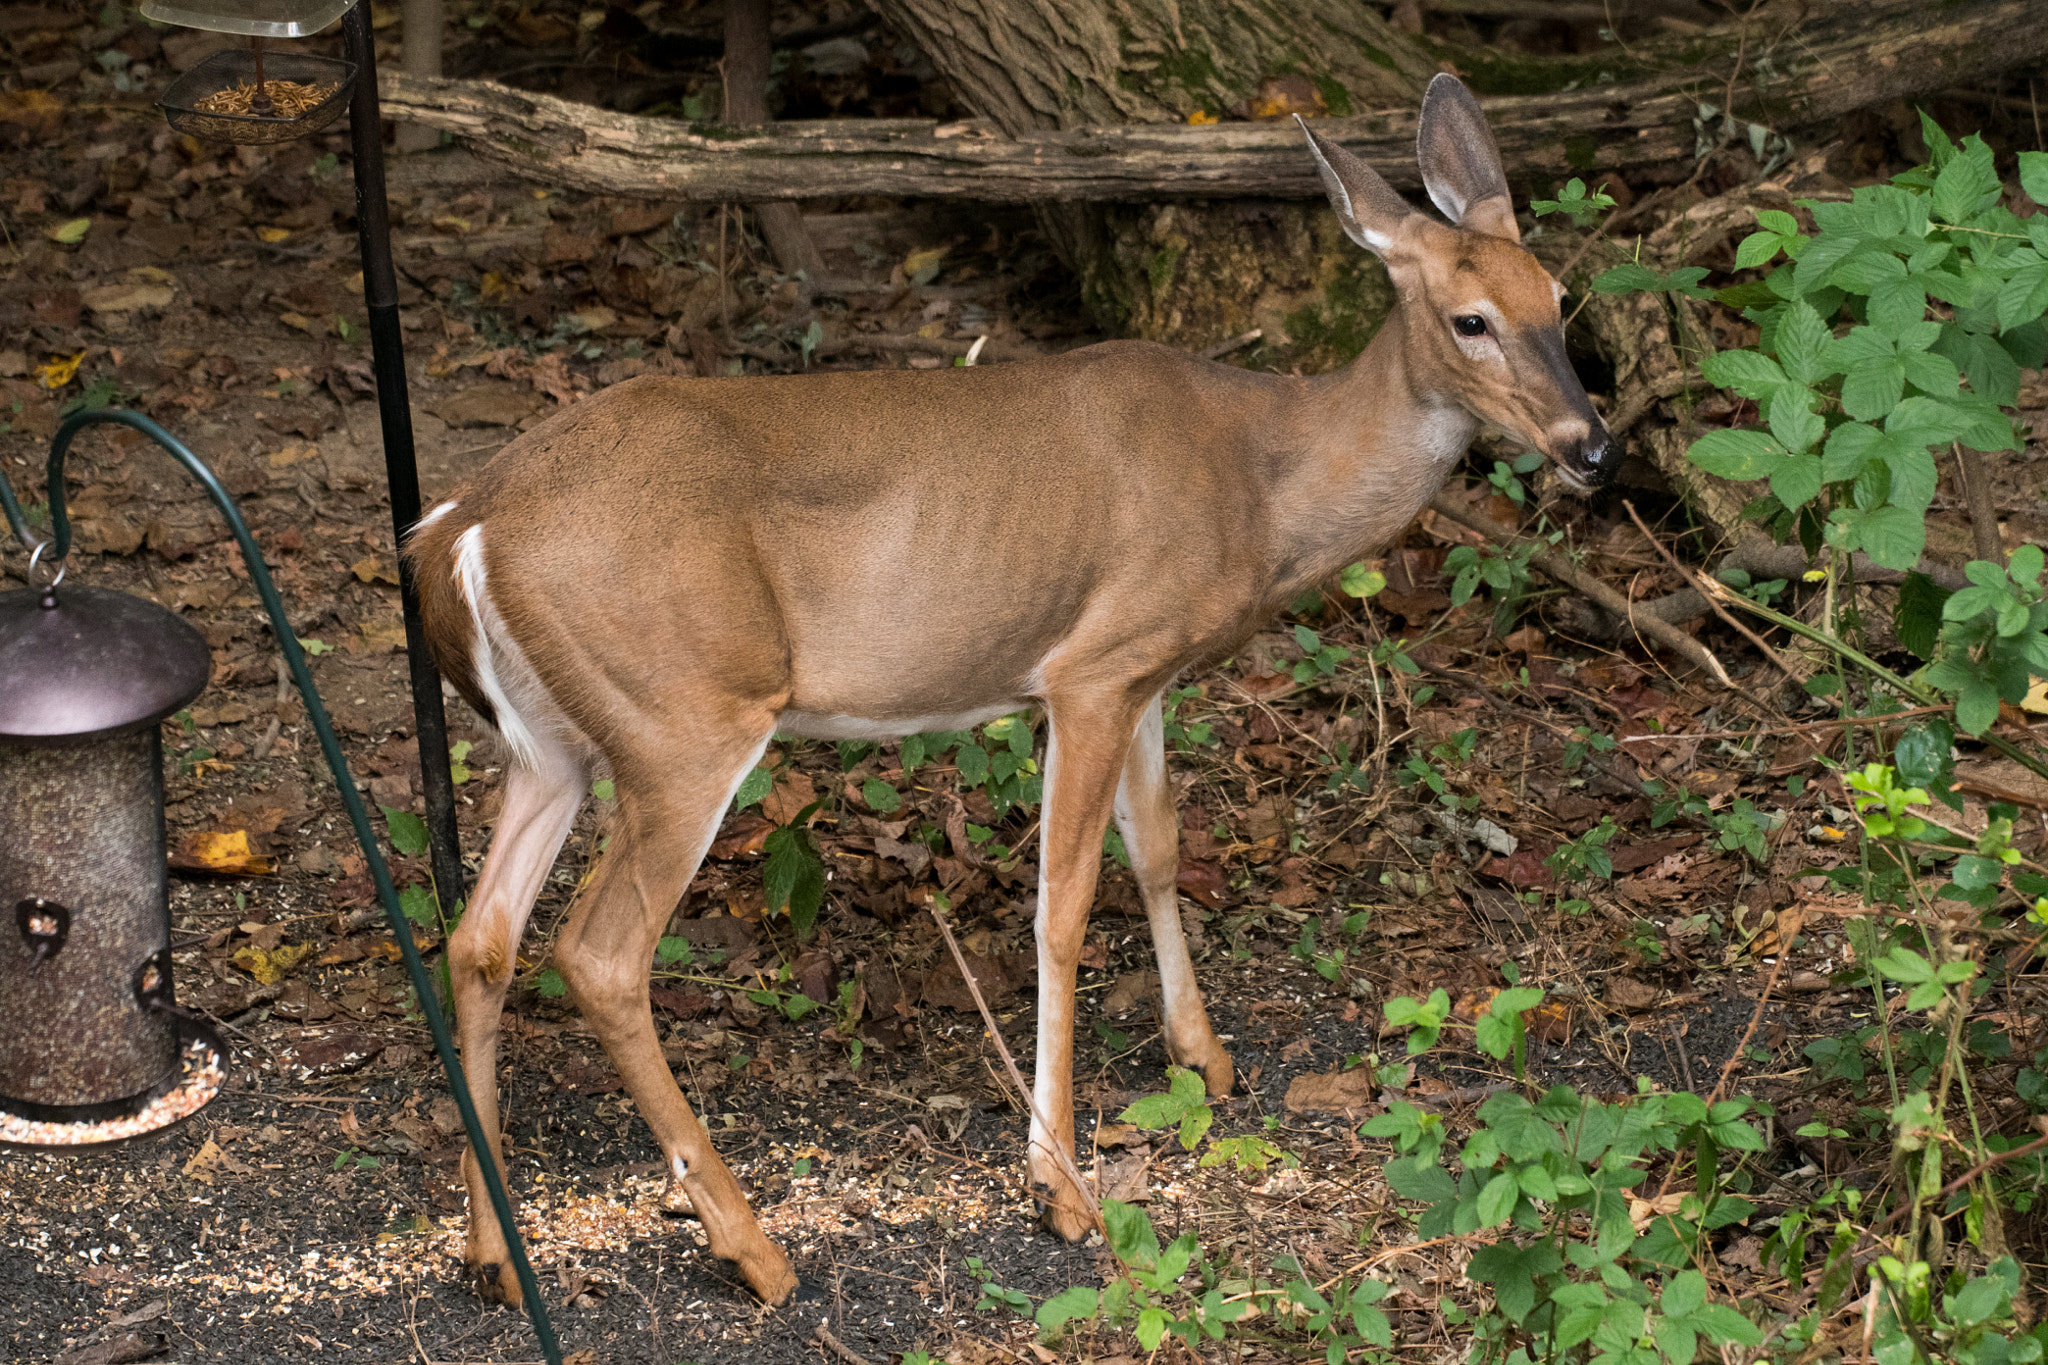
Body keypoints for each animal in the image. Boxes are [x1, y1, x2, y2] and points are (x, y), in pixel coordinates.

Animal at [403, 77, 1613, 1309]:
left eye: (1560, 300)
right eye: (1470, 319)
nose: (1592, 447)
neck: (1263, 485)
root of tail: (460, 526)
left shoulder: (1146, 666)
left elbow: (1159, 845)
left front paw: (1203, 1055)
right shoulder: (1088, 669)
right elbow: (1062, 908)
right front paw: (1060, 1184)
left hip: (553, 744)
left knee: (480, 936)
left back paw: (494, 1254)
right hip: (683, 718)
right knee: (599, 955)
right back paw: (750, 1246)